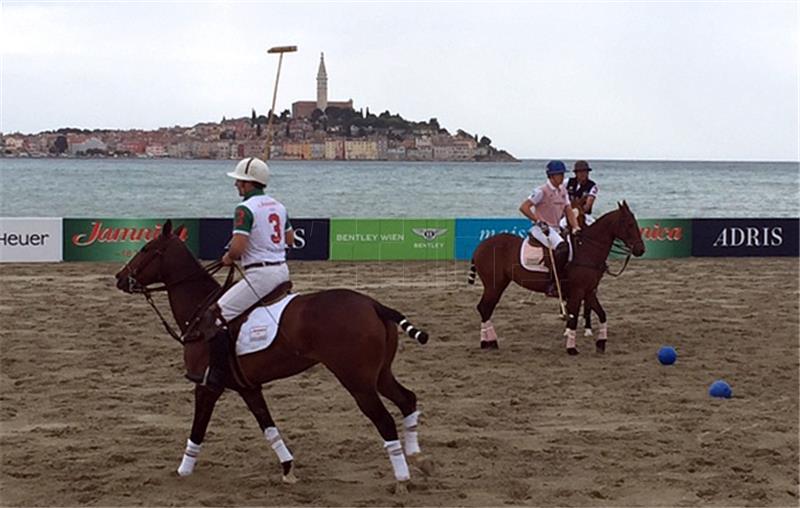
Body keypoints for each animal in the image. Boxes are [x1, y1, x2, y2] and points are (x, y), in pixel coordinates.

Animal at [113, 220, 432, 490]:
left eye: (146, 249)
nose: (119, 278)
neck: (199, 309)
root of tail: (374, 305)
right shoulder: (248, 387)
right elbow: (268, 427)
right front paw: (288, 469)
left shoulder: (206, 385)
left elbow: (198, 429)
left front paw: (183, 471)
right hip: (379, 374)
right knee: (407, 399)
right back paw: (418, 459)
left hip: (357, 381)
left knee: (385, 420)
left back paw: (402, 478)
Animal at [468, 201, 644, 354]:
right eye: (629, 224)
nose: (641, 249)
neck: (587, 250)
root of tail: (479, 247)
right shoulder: (577, 291)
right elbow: (573, 318)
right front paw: (571, 349)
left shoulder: (589, 291)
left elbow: (601, 314)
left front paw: (601, 343)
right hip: (494, 284)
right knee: (484, 308)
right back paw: (489, 342)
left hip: (498, 283)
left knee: (485, 308)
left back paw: (488, 342)